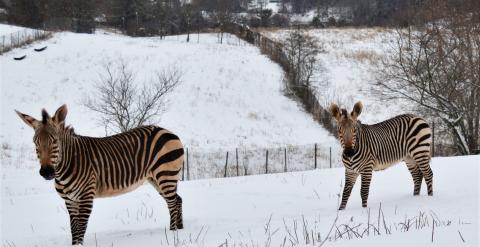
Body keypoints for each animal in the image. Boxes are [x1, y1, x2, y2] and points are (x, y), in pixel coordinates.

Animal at [15, 104, 185, 245]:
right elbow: (74, 229)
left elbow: (80, 228)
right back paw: (180, 230)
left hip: (165, 174)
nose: (46, 172)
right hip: (155, 178)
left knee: (172, 202)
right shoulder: (70, 201)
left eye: (55, 142)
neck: (67, 165)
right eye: (35, 143)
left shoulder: (85, 197)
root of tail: (167, 131)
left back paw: (172, 234)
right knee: (177, 200)